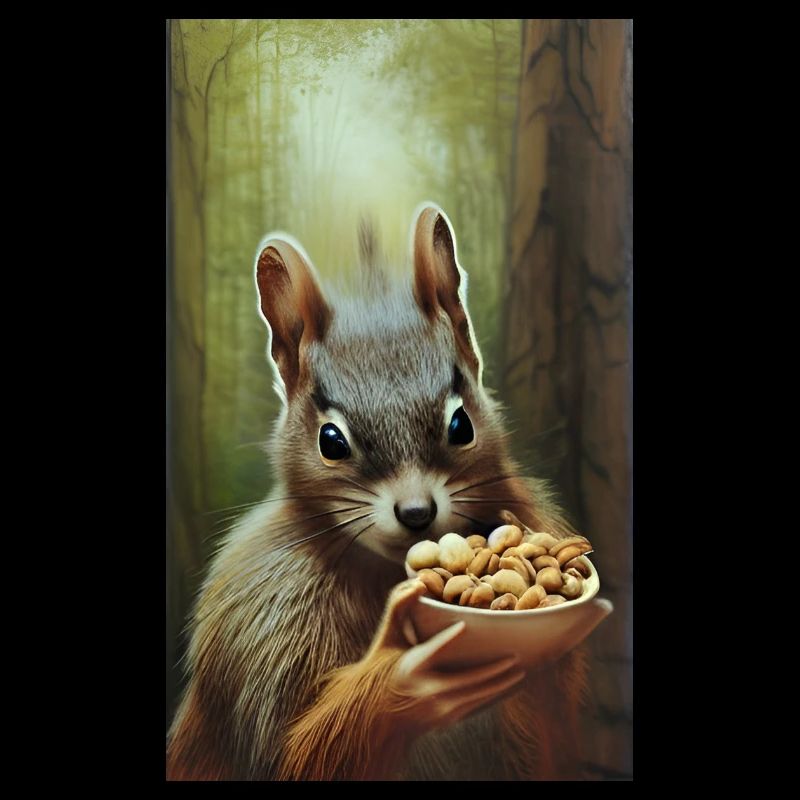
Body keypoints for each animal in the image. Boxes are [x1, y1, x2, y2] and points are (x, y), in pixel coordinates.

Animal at [166, 204, 605, 781]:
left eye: (462, 424)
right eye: (330, 441)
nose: (416, 513)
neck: (382, 573)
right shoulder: (260, 627)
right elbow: (292, 755)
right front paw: (400, 671)